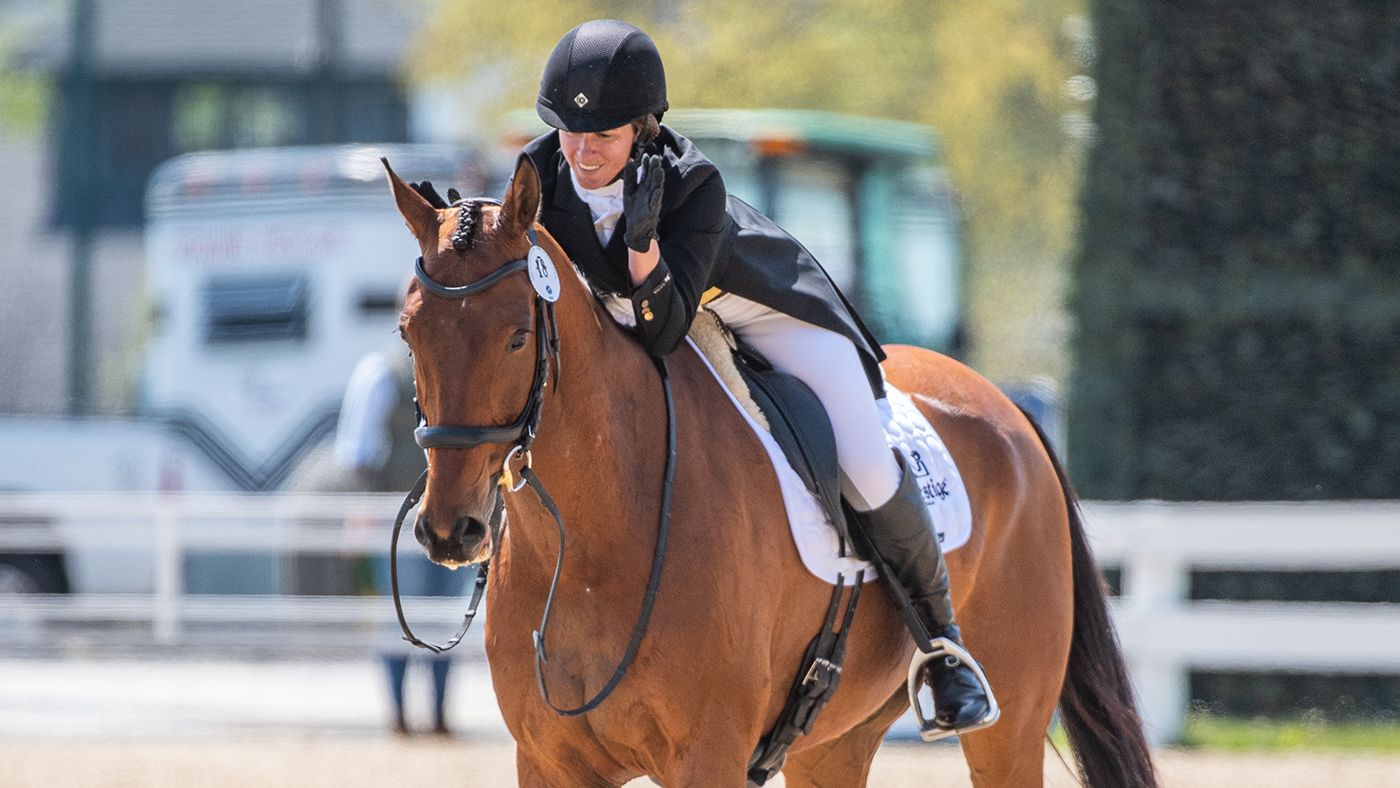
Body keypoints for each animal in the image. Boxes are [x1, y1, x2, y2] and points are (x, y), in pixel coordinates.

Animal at [383, 152, 1156, 787]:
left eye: (518, 336)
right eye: (408, 332)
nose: (450, 531)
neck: (591, 543)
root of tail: (1009, 408)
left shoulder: (708, 756)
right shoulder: (550, 763)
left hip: (1012, 728)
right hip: (835, 742)